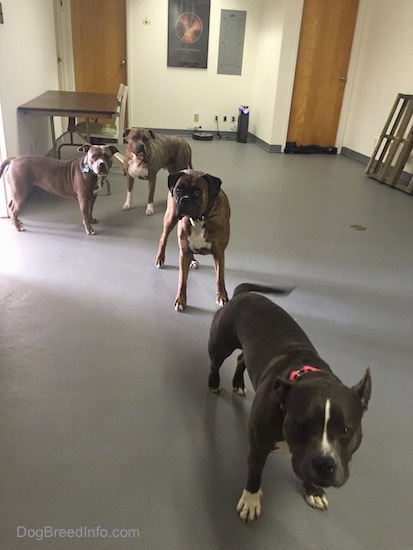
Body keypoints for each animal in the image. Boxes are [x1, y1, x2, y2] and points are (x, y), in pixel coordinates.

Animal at [156, 170, 230, 312]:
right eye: (178, 189)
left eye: (197, 192)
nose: (184, 199)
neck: (200, 219)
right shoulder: (184, 252)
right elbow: (182, 280)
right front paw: (180, 300)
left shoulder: (219, 253)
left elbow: (220, 277)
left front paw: (222, 296)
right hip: (170, 218)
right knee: (163, 238)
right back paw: (160, 259)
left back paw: (193, 260)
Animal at [208, 286, 372, 524]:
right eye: (301, 425)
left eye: (346, 430)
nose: (324, 463)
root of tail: (243, 294)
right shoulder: (258, 447)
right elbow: (254, 474)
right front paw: (251, 501)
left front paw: (314, 491)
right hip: (221, 343)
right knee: (216, 362)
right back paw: (213, 382)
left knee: (241, 359)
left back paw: (238, 383)